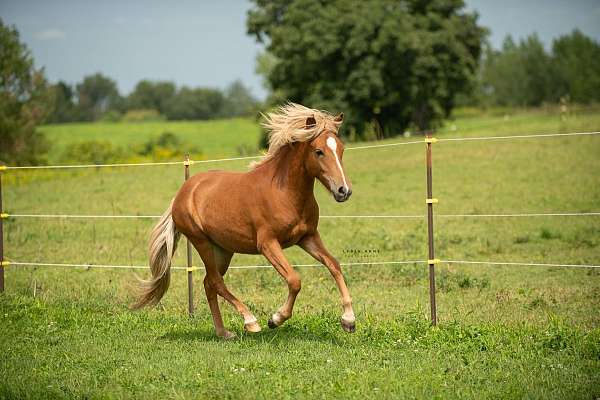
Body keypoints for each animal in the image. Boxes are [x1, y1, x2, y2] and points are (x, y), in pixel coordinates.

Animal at [134, 103, 354, 338]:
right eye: (318, 151)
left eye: (341, 149)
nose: (344, 190)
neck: (284, 192)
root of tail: (183, 192)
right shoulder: (267, 244)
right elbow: (295, 280)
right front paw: (275, 319)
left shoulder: (308, 237)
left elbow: (334, 265)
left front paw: (349, 320)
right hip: (201, 242)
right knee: (216, 282)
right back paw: (250, 322)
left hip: (223, 249)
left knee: (209, 283)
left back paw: (223, 333)